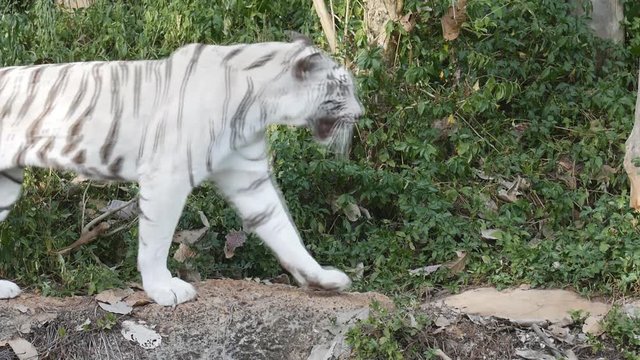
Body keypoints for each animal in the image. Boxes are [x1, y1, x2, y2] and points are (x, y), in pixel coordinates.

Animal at [0, 36, 362, 306]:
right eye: (343, 88)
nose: (360, 114)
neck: (259, 106)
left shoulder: (249, 177)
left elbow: (283, 230)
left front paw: (322, 279)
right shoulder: (168, 176)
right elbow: (157, 240)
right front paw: (165, 289)